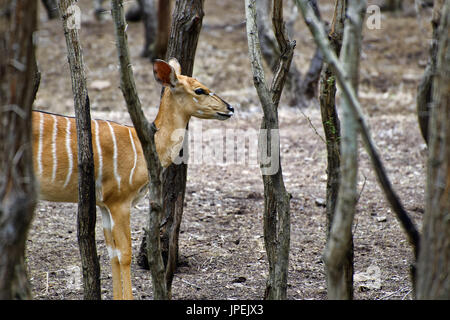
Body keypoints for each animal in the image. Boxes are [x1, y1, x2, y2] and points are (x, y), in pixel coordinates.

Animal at [32, 58, 236, 300]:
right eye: (199, 90)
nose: (230, 108)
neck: (143, 144)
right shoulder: (119, 201)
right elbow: (125, 254)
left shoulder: (104, 204)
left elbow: (112, 253)